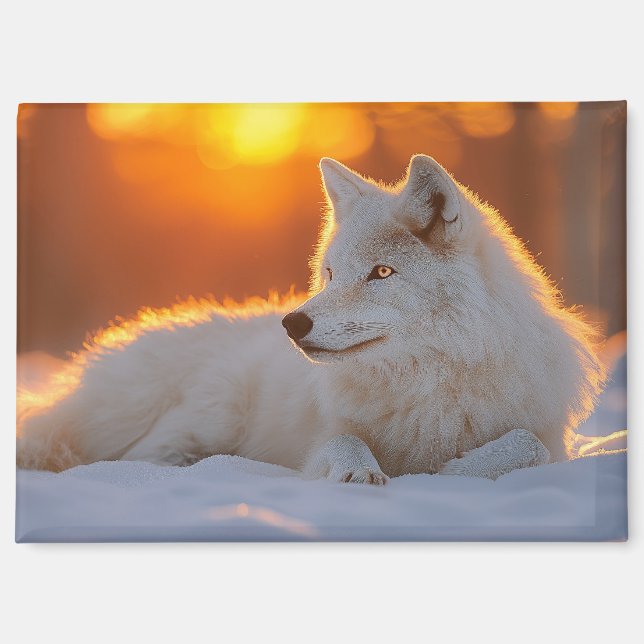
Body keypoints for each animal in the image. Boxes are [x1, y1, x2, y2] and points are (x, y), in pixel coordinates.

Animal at [17, 155, 605, 483]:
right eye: (328, 274)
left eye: (381, 272)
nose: (292, 325)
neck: (428, 383)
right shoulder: (324, 431)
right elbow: (340, 443)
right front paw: (356, 471)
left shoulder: (549, 436)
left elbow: (527, 445)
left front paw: (458, 470)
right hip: (213, 411)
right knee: (135, 456)